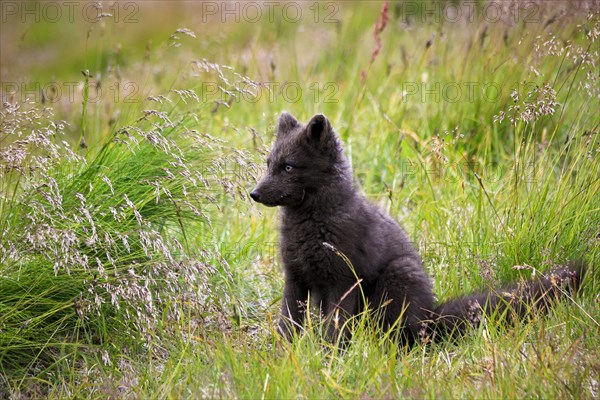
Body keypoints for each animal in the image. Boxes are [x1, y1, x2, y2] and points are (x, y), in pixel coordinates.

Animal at [250, 111, 584, 344]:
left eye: (288, 167)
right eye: (268, 164)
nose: (253, 194)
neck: (311, 223)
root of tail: (432, 316)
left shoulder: (342, 281)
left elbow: (335, 328)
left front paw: (328, 358)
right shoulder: (296, 278)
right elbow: (288, 323)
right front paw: (285, 355)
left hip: (398, 277)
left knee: (403, 335)